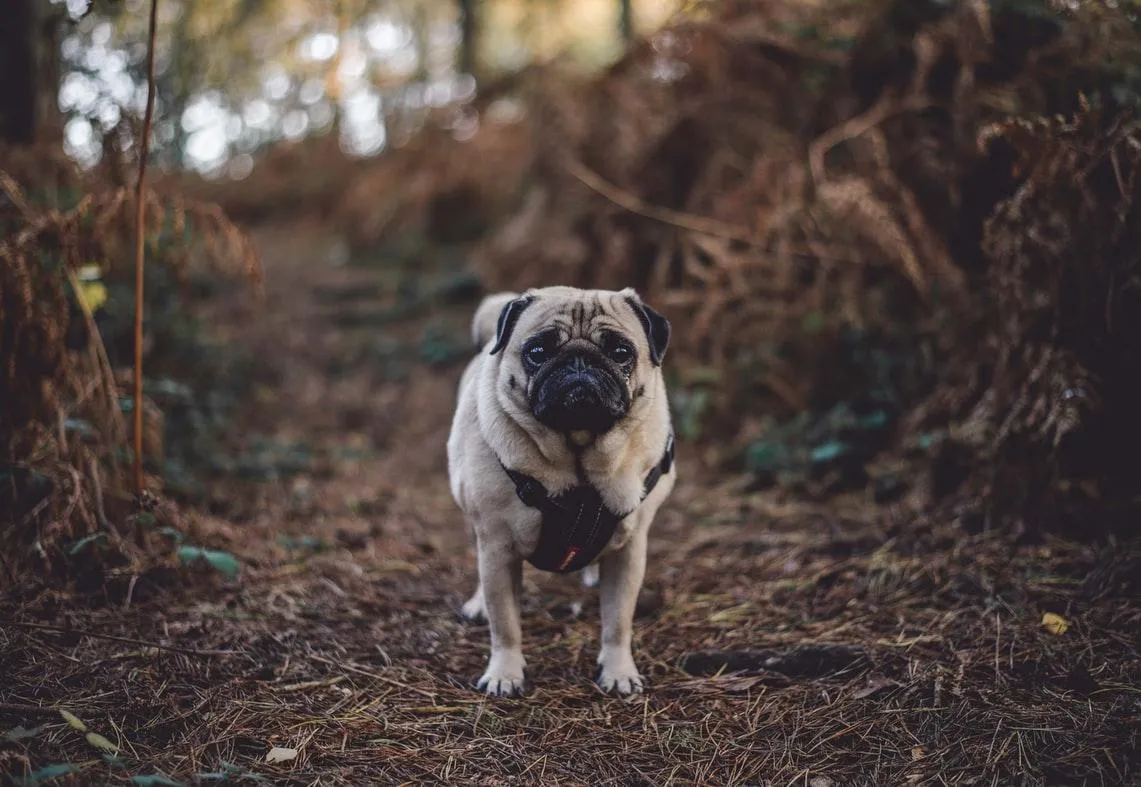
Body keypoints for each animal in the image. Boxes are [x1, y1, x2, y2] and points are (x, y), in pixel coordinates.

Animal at [447, 285, 675, 698]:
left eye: (621, 352)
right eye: (538, 351)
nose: (579, 361)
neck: (579, 457)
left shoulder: (631, 551)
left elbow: (618, 621)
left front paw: (618, 671)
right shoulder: (498, 550)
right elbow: (505, 624)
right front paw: (505, 673)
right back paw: (477, 604)